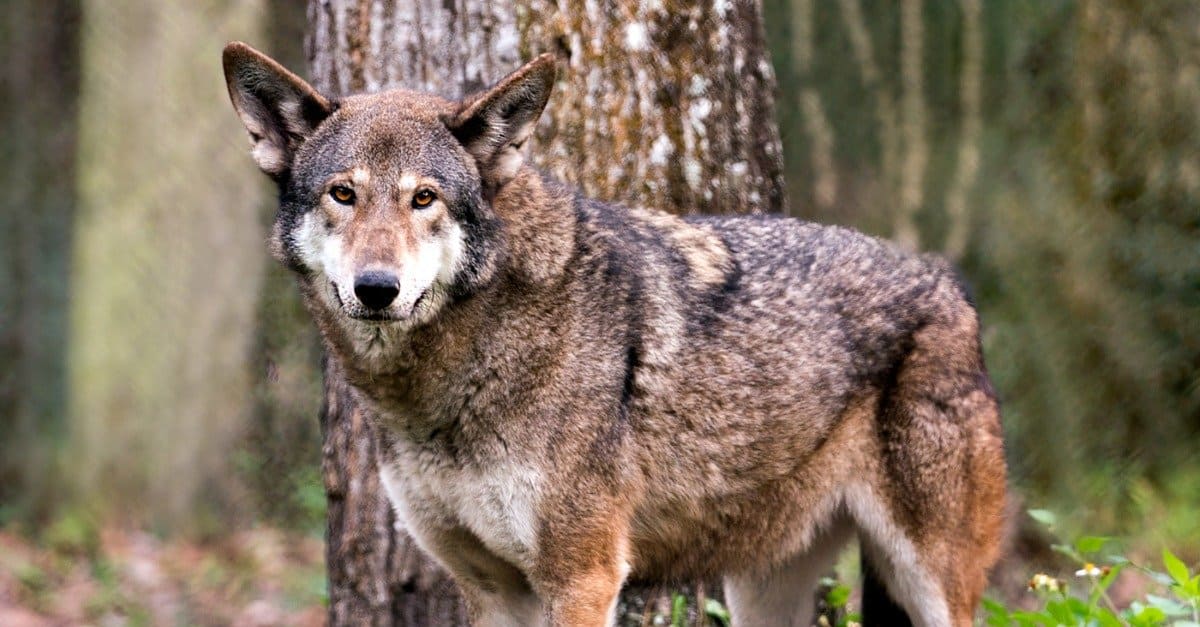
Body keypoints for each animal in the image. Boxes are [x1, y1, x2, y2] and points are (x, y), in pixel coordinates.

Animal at [223, 41, 1003, 619]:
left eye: (424, 198)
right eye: (343, 193)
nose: (376, 288)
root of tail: (947, 281)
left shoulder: (584, 574)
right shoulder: (491, 587)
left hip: (930, 582)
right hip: (760, 587)